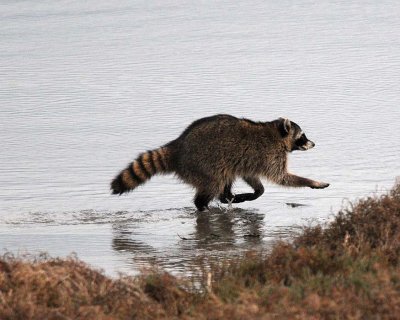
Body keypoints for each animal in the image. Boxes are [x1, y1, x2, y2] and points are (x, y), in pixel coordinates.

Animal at [109, 114, 328, 211]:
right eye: (302, 136)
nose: (313, 143)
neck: (275, 133)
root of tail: (177, 146)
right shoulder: (270, 155)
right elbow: (282, 178)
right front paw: (312, 182)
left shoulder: (252, 160)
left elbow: (252, 178)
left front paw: (256, 192)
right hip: (202, 165)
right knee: (214, 183)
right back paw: (204, 205)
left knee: (226, 178)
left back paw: (227, 197)